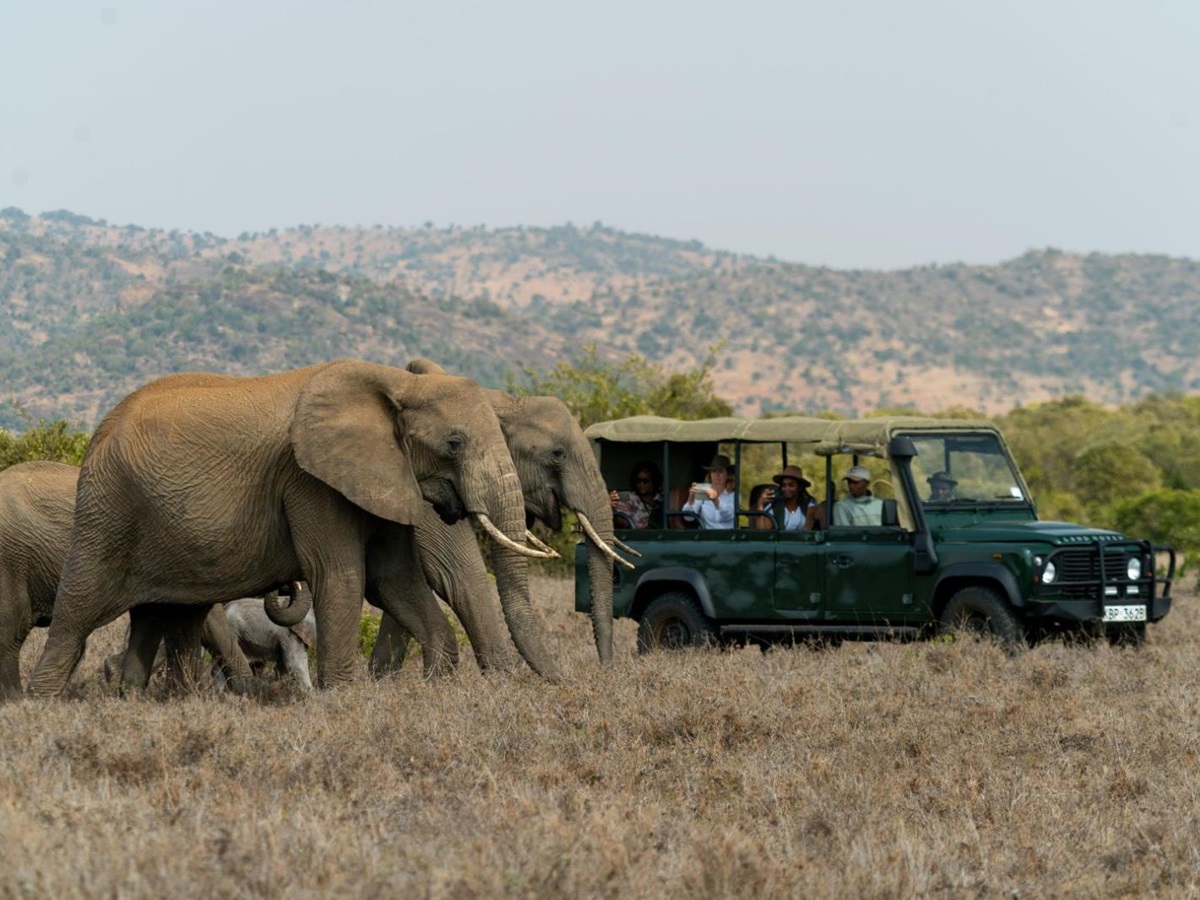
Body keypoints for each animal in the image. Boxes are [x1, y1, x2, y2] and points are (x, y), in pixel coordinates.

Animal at [28, 359, 556, 697]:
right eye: (454, 443)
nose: (557, 684)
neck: (396, 383)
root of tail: (98, 432)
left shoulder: (384, 476)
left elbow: (395, 580)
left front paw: (435, 689)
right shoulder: (309, 480)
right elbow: (341, 576)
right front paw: (344, 699)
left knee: (158, 618)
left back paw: (137, 701)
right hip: (107, 509)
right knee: (78, 608)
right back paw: (42, 704)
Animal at [369, 358, 631, 676]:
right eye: (558, 454)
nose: (605, 667)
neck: (500, 402)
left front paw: (381, 677)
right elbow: (455, 568)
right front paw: (503, 678)